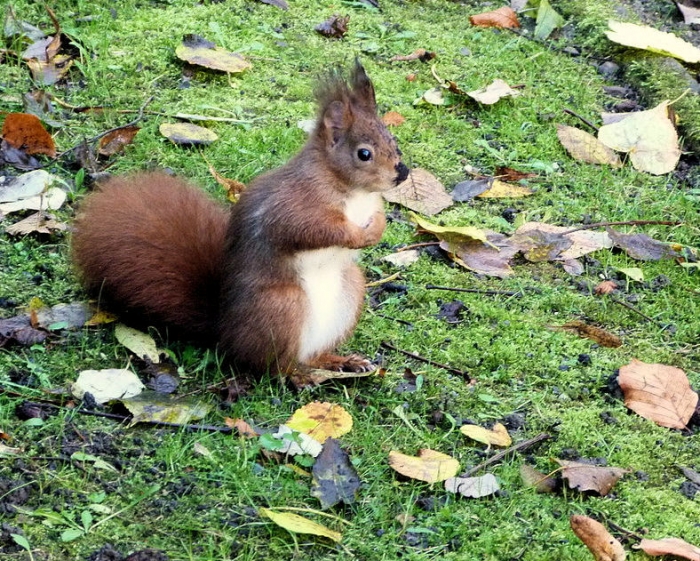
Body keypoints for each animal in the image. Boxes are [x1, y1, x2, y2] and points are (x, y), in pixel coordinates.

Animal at [71, 61, 409, 375]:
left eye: (394, 141)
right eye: (363, 154)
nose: (402, 173)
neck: (354, 192)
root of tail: (226, 333)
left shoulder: (371, 204)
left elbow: (379, 217)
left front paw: (377, 229)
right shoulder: (296, 205)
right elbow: (311, 229)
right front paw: (358, 235)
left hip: (350, 291)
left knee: (312, 355)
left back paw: (341, 361)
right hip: (283, 307)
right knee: (276, 365)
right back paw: (300, 376)